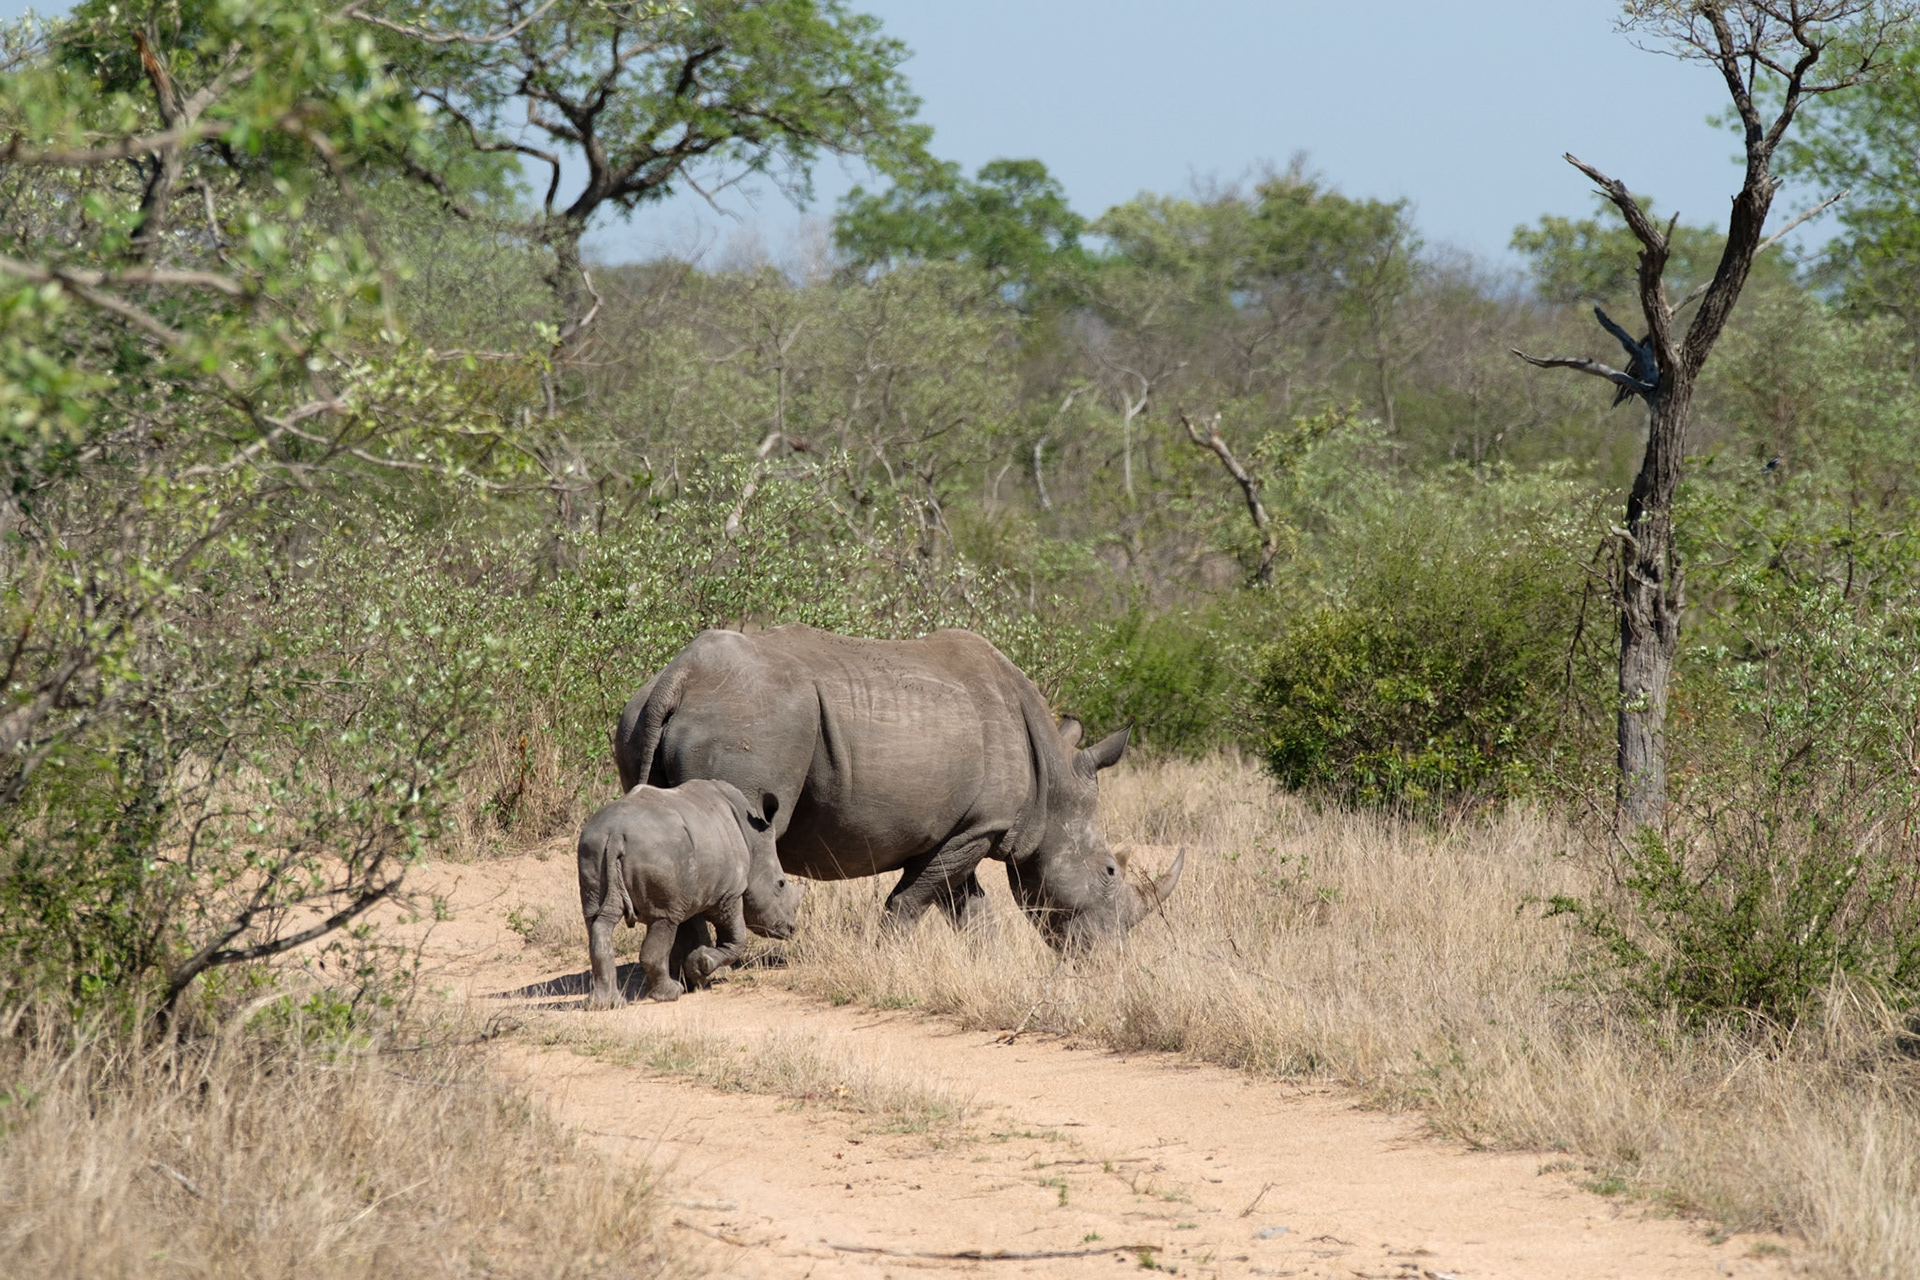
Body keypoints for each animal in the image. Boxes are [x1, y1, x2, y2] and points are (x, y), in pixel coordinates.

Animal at [576, 778, 804, 1007]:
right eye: (781, 884)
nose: (791, 929)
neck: (752, 841)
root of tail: (616, 834)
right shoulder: (728, 894)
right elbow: (737, 938)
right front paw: (701, 966)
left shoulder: (687, 892)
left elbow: (687, 933)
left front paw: (696, 977)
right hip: (658, 853)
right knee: (663, 920)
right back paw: (670, 994)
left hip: (594, 846)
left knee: (598, 920)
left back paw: (605, 1004)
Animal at [613, 625, 1182, 949]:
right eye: (1109, 871)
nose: (1109, 960)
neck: (1054, 784)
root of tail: (681, 676)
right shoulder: (979, 826)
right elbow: (911, 901)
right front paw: (885, 957)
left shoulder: (961, 828)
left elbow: (967, 907)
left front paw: (990, 965)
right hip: (751, 722)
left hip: (639, 715)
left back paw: (687, 975)